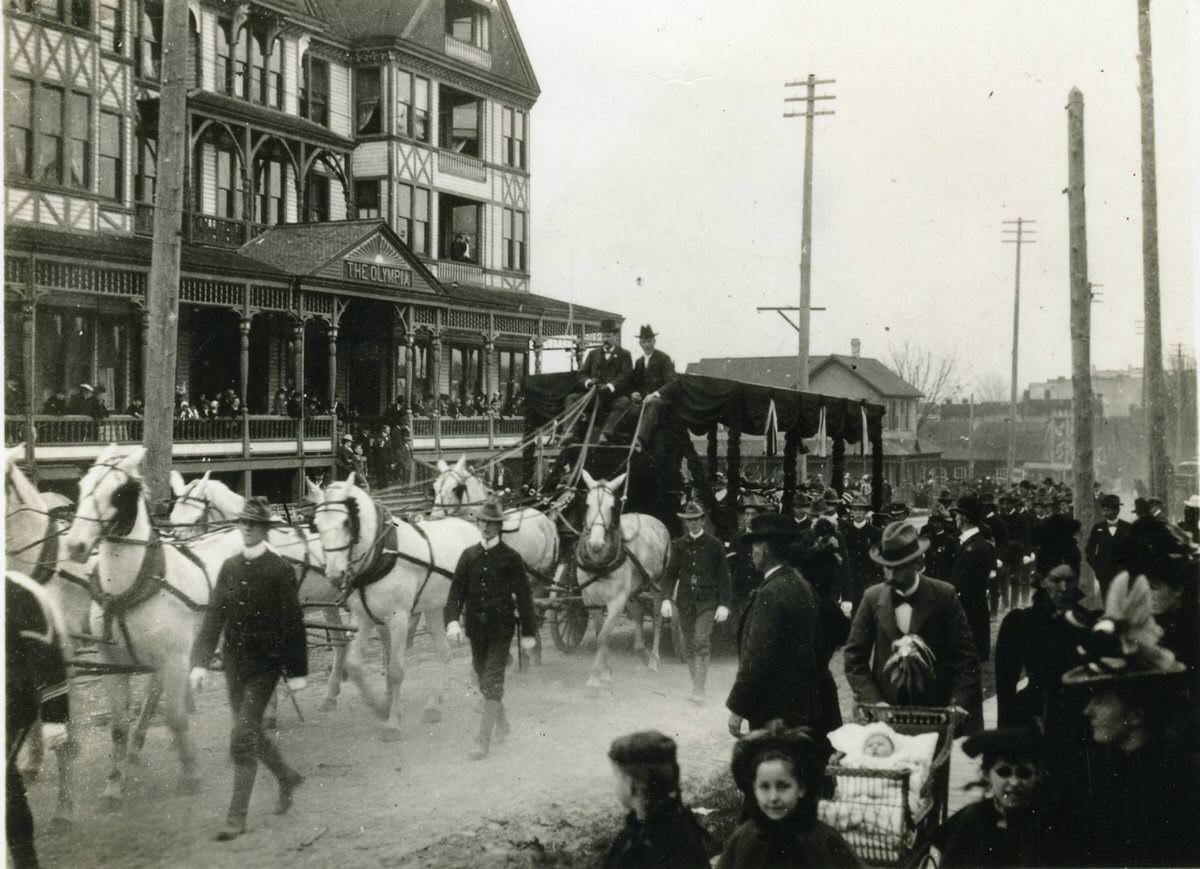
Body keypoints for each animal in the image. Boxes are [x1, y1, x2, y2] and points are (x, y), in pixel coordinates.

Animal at [63, 448, 241, 806]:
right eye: (82, 485)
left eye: (118, 492)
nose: (75, 545)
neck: (132, 587)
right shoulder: (112, 664)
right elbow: (119, 725)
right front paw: (114, 784)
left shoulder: (175, 658)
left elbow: (175, 717)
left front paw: (190, 773)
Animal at [171, 472, 352, 710]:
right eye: (173, 517)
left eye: (195, 518)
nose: (178, 546)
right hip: (330, 602)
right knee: (342, 643)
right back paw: (332, 693)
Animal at [307, 475, 480, 739]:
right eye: (316, 524)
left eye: (347, 522)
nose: (335, 574)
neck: (380, 554)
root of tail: (472, 527)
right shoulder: (363, 617)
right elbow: (354, 665)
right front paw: (380, 707)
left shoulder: (399, 616)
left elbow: (396, 670)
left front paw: (393, 723)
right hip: (434, 608)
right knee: (444, 653)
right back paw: (434, 705)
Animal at [576, 472, 672, 696]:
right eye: (587, 503)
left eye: (612, 506)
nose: (595, 544)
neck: (599, 565)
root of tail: (652, 518)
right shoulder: (591, 601)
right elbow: (600, 634)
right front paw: (606, 673)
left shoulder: (616, 601)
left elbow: (603, 637)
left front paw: (595, 679)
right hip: (635, 589)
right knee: (638, 612)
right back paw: (640, 649)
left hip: (657, 584)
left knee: (657, 618)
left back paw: (653, 660)